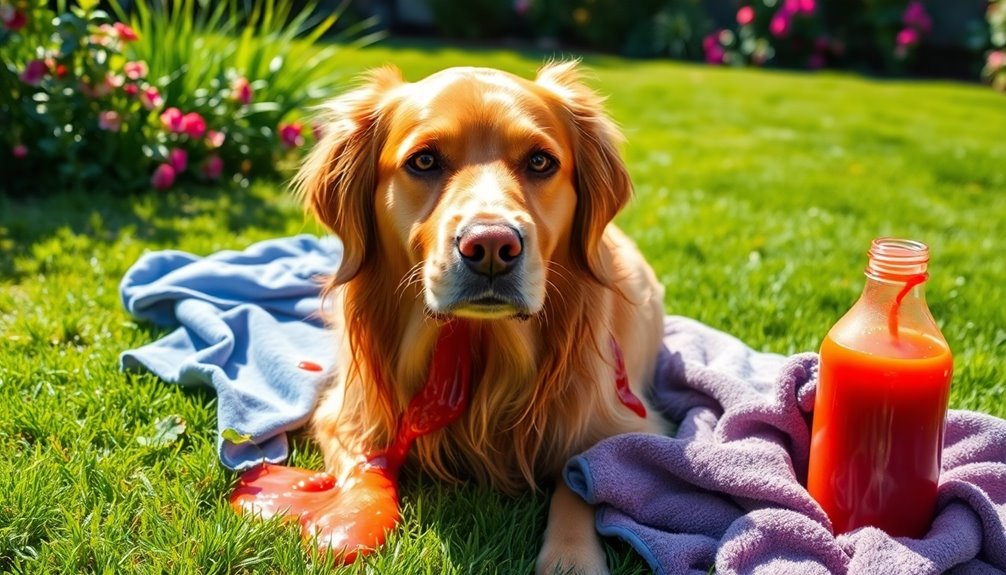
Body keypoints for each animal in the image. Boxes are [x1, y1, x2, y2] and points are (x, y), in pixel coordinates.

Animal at [293, 60, 663, 570]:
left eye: (540, 162)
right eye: (424, 161)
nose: (490, 246)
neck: (479, 347)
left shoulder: (630, 428)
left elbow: (581, 478)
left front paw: (570, 558)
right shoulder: (344, 412)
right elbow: (364, 464)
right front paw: (348, 519)